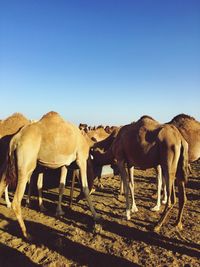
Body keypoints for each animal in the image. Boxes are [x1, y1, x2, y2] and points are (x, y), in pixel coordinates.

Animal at [0, 112, 98, 240]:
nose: (77, 200)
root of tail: (15, 140)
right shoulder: (81, 158)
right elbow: (85, 188)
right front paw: (96, 216)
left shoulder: (65, 164)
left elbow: (61, 186)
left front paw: (59, 211)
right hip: (26, 166)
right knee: (16, 201)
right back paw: (27, 234)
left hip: (8, 163)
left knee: (2, 185)